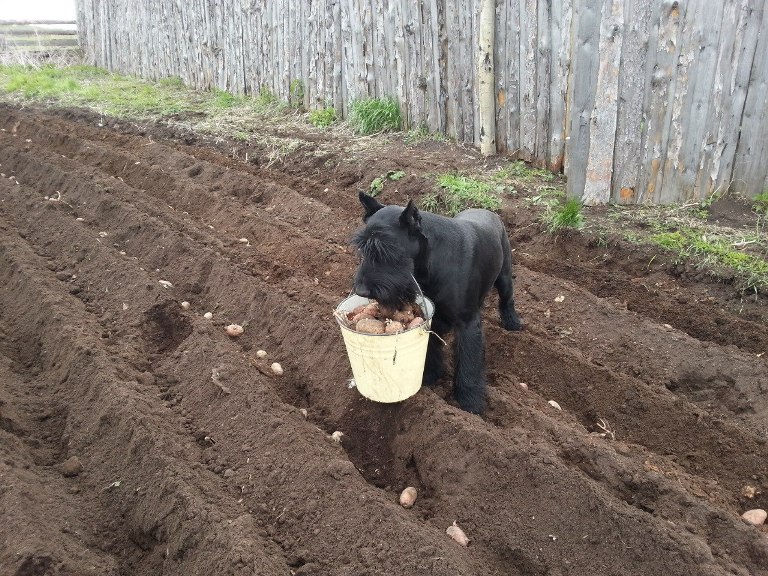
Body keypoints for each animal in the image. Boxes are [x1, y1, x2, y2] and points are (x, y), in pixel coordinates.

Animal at [352, 194, 520, 414]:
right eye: (363, 248)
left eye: (387, 250)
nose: (361, 290)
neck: (429, 262)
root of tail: (489, 212)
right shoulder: (431, 315)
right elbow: (430, 348)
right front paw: (429, 376)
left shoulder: (468, 323)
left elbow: (469, 363)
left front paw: (470, 402)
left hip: (505, 276)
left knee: (507, 299)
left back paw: (513, 323)